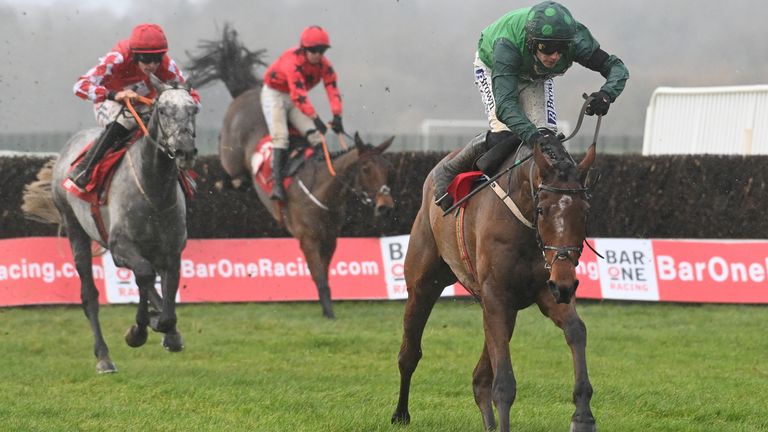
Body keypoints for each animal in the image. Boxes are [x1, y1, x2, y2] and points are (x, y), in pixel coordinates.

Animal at [22, 76, 200, 372]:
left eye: (193, 109)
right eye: (163, 110)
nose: (185, 151)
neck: (153, 191)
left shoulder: (172, 251)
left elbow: (165, 295)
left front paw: (168, 331)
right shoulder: (120, 245)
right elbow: (143, 275)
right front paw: (137, 332)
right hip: (75, 228)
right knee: (90, 295)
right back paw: (104, 357)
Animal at [188, 22, 396, 318]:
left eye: (388, 168)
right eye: (366, 168)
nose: (385, 206)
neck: (323, 191)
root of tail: (244, 90)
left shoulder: (330, 238)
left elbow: (325, 273)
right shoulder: (307, 238)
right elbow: (319, 276)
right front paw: (329, 314)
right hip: (236, 148)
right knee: (234, 173)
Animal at [392, 137, 596, 430]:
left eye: (585, 211)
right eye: (542, 209)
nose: (566, 283)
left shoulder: (544, 290)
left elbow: (576, 330)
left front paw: (583, 416)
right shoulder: (498, 296)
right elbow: (504, 384)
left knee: (480, 377)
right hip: (423, 284)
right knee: (409, 354)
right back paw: (401, 414)